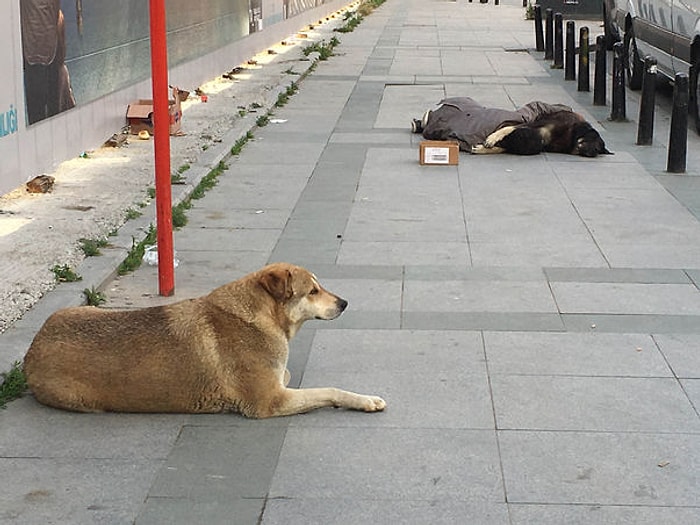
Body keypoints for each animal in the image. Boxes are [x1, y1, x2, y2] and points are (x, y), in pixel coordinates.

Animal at [26, 262, 388, 418]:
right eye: (312, 291)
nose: (345, 303)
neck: (261, 314)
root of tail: (32, 349)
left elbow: (285, 372)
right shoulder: (270, 402)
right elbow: (328, 390)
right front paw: (365, 400)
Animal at [470, 110, 612, 158]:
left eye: (598, 150)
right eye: (594, 141)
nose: (592, 153)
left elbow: (503, 148)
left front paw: (483, 149)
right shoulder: (539, 123)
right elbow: (509, 128)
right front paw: (492, 138)